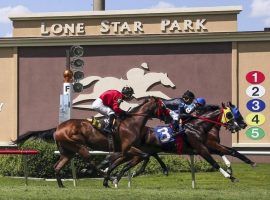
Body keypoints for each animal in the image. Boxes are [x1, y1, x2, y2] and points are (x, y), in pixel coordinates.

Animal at [15, 97, 167, 188]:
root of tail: (58, 128)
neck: (132, 123)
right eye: (163, 107)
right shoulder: (127, 149)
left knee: (57, 167)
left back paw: (62, 185)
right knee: (90, 162)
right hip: (80, 146)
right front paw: (121, 176)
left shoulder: (126, 151)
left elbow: (124, 160)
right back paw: (104, 176)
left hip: (67, 152)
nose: (169, 117)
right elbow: (143, 157)